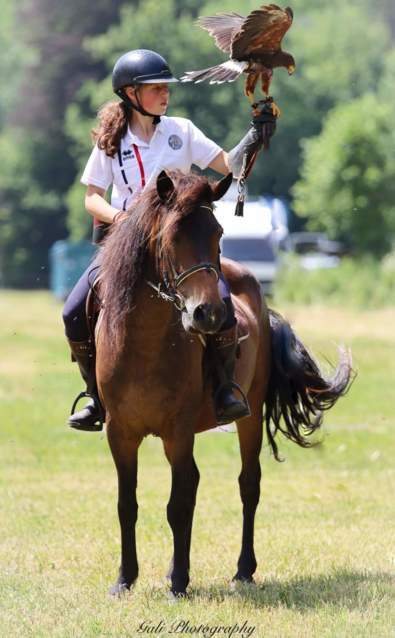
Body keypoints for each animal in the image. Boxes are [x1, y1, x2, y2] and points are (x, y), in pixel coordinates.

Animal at [96, 170, 352, 600]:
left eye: (217, 232)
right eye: (172, 236)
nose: (209, 313)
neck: (143, 344)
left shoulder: (178, 432)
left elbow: (178, 505)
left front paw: (179, 583)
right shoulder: (120, 433)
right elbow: (125, 505)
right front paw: (124, 580)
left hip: (248, 417)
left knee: (248, 485)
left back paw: (243, 569)